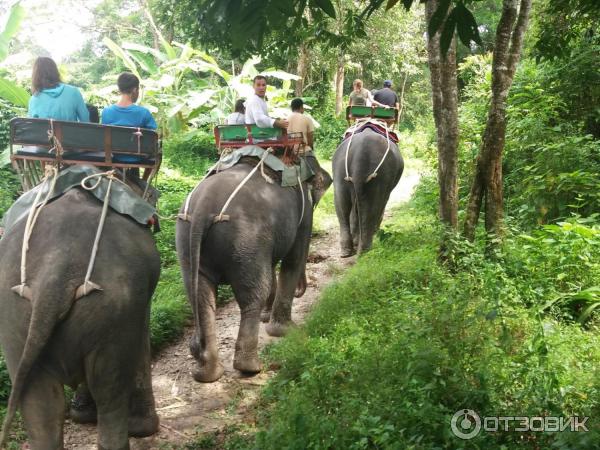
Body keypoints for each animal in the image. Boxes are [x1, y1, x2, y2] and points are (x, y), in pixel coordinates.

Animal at [0, 189, 161, 450]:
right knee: (109, 389)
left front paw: (81, 415)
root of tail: (55, 269)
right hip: (113, 309)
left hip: (12, 317)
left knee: (42, 405)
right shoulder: (139, 301)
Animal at [177, 156, 332, 382]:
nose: (302, 290)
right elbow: (293, 259)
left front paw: (267, 318)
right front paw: (285, 331)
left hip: (186, 241)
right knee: (254, 294)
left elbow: (272, 264)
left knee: (201, 298)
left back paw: (207, 373)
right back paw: (251, 368)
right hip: (247, 239)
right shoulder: (303, 212)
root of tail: (201, 210)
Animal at [332, 126, 404, 256]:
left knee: (342, 204)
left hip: (339, 170)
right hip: (381, 175)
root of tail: (361, 152)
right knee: (374, 205)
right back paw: (364, 250)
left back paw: (347, 251)